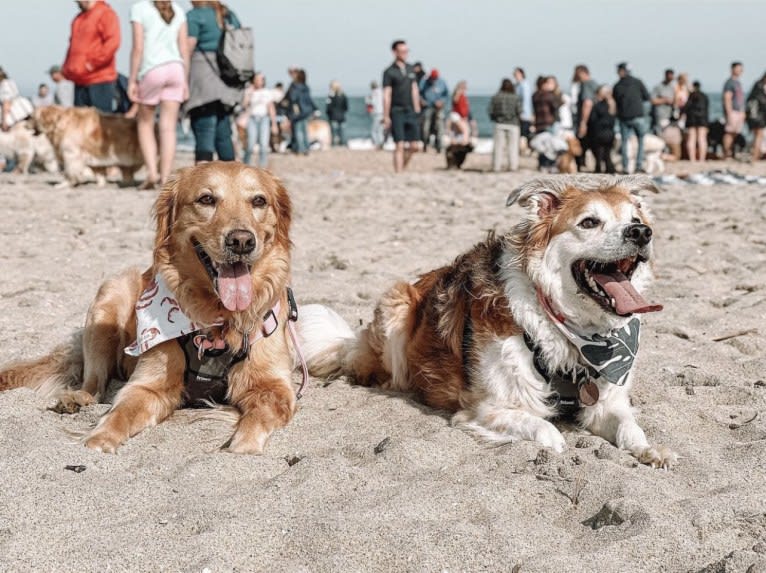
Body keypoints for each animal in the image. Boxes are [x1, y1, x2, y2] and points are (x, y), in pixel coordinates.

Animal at [0, 160, 306, 452]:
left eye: (259, 201)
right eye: (206, 199)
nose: (241, 241)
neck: (219, 318)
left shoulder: (275, 387)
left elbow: (256, 421)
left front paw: (240, 447)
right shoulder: (148, 385)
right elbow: (120, 412)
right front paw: (98, 440)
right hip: (108, 299)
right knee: (94, 383)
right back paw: (75, 399)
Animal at [300, 175, 680, 470]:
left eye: (635, 217)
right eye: (589, 222)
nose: (641, 232)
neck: (567, 329)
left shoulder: (606, 401)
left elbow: (629, 426)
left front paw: (651, 450)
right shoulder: (483, 408)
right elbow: (546, 431)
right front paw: (557, 446)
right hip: (396, 304)